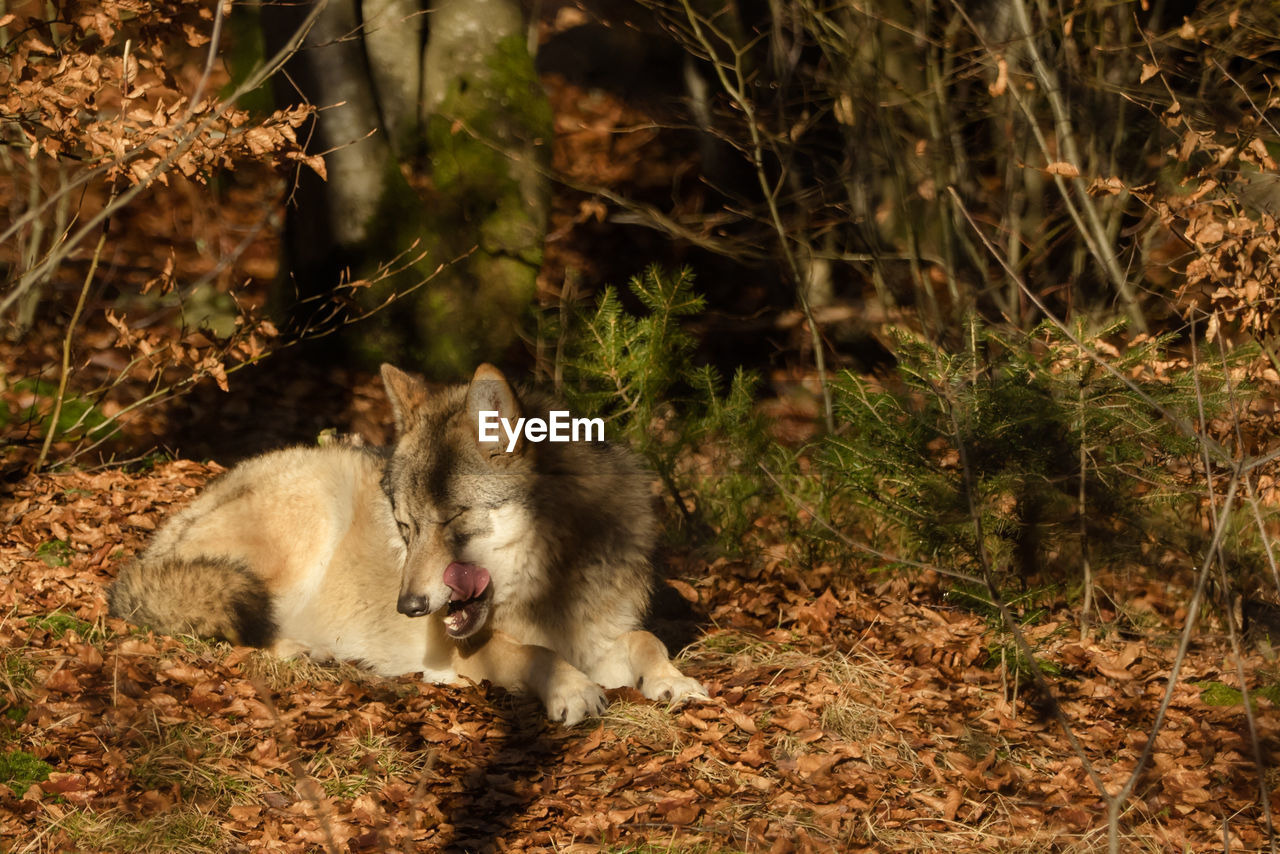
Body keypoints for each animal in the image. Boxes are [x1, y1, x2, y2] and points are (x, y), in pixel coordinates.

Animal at [107, 363, 711, 727]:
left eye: (453, 519)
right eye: (406, 526)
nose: (410, 607)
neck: (552, 586)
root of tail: (158, 542)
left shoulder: (601, 637)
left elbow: (647, 640)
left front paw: (674, 682)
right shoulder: (471, 651)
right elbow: (535, 654)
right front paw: (572, 690)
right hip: (313, 512)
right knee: (244, 629)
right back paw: (308, 651)